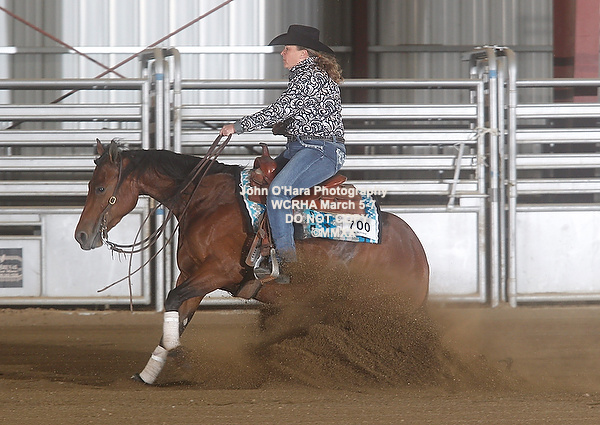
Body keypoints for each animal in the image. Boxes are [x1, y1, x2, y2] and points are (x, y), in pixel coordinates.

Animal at [75, 140, 429, 384]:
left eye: (101, 187)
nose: (81, 235)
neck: (205, 201)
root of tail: (418, 253)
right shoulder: (190, 275)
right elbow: (177, 314)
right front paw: (148, 374)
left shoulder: (218, 272)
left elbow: (173, 301)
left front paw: (182, 360)